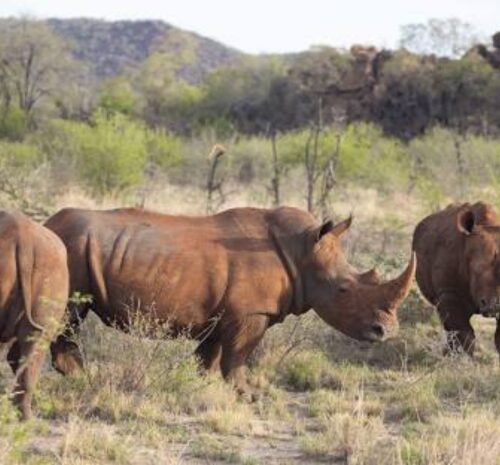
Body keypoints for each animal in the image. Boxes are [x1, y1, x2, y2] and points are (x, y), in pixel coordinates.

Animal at [47, 207, 414, 396]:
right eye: (343, 290)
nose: (387, 332)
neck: (302, 252)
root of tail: (48, 224)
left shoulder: (223, 312)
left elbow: (210, 354)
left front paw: (204, 384)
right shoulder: (250, 312)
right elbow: (238, 353)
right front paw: (248, 394)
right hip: (71, 248)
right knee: (67, 317)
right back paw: (83, 378)